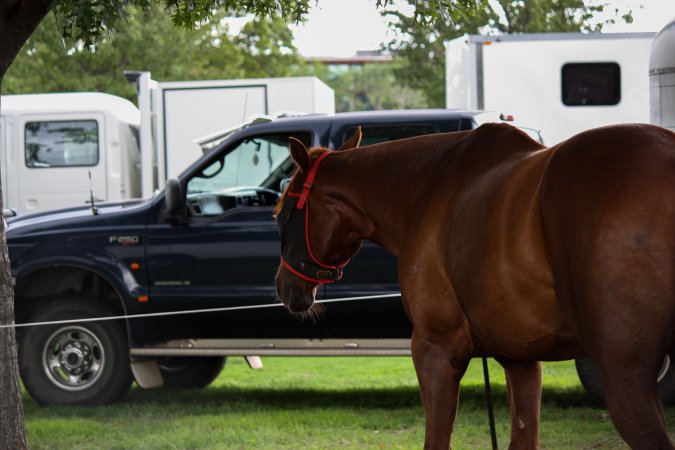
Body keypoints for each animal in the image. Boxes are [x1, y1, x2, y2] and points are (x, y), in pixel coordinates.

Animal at [274, 122, 675, 449]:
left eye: (284, 213)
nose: (282, 286)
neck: (428, 186)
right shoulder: (520, 359)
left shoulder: (435, 349)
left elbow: (437, 441)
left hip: (626, 376)